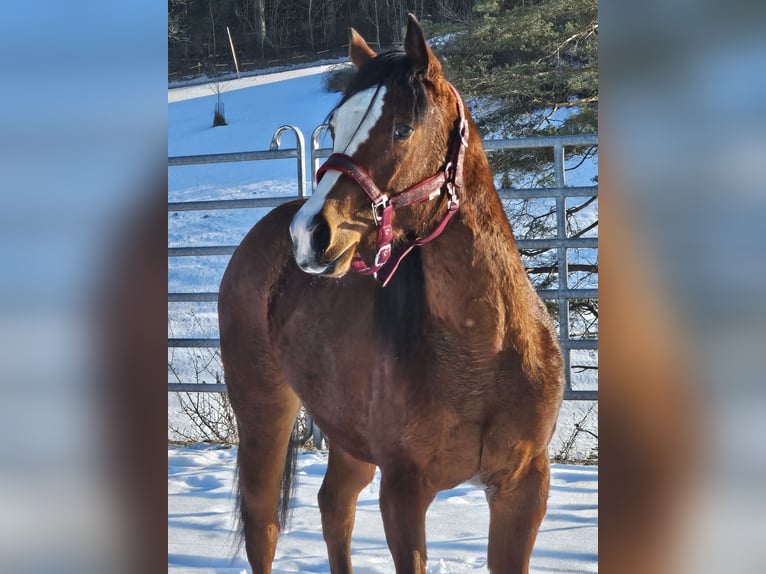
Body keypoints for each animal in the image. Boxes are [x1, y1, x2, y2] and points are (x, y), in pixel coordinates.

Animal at [218, 15, 564, 574]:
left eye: (402, 127)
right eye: (335, 127)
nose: (310, 233)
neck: (485, 345)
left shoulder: (523, 486)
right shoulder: (404, 491)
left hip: (347, 437)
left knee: (334, 505)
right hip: (262, 415)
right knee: (263, 526)